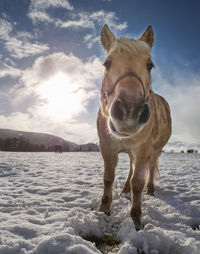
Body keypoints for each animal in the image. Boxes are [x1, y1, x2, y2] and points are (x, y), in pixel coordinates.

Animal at [97, 24, 172, 230]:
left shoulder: (144, 150)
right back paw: (125, 189)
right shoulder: (107, 147)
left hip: (156, 150)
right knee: (131, 168)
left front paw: (136, 220)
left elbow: (138, 182)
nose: (130, 110)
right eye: (107, 63)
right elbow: (108, 178)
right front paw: (103, 210)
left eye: (149, 65)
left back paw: (150, 188)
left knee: (151, 167)